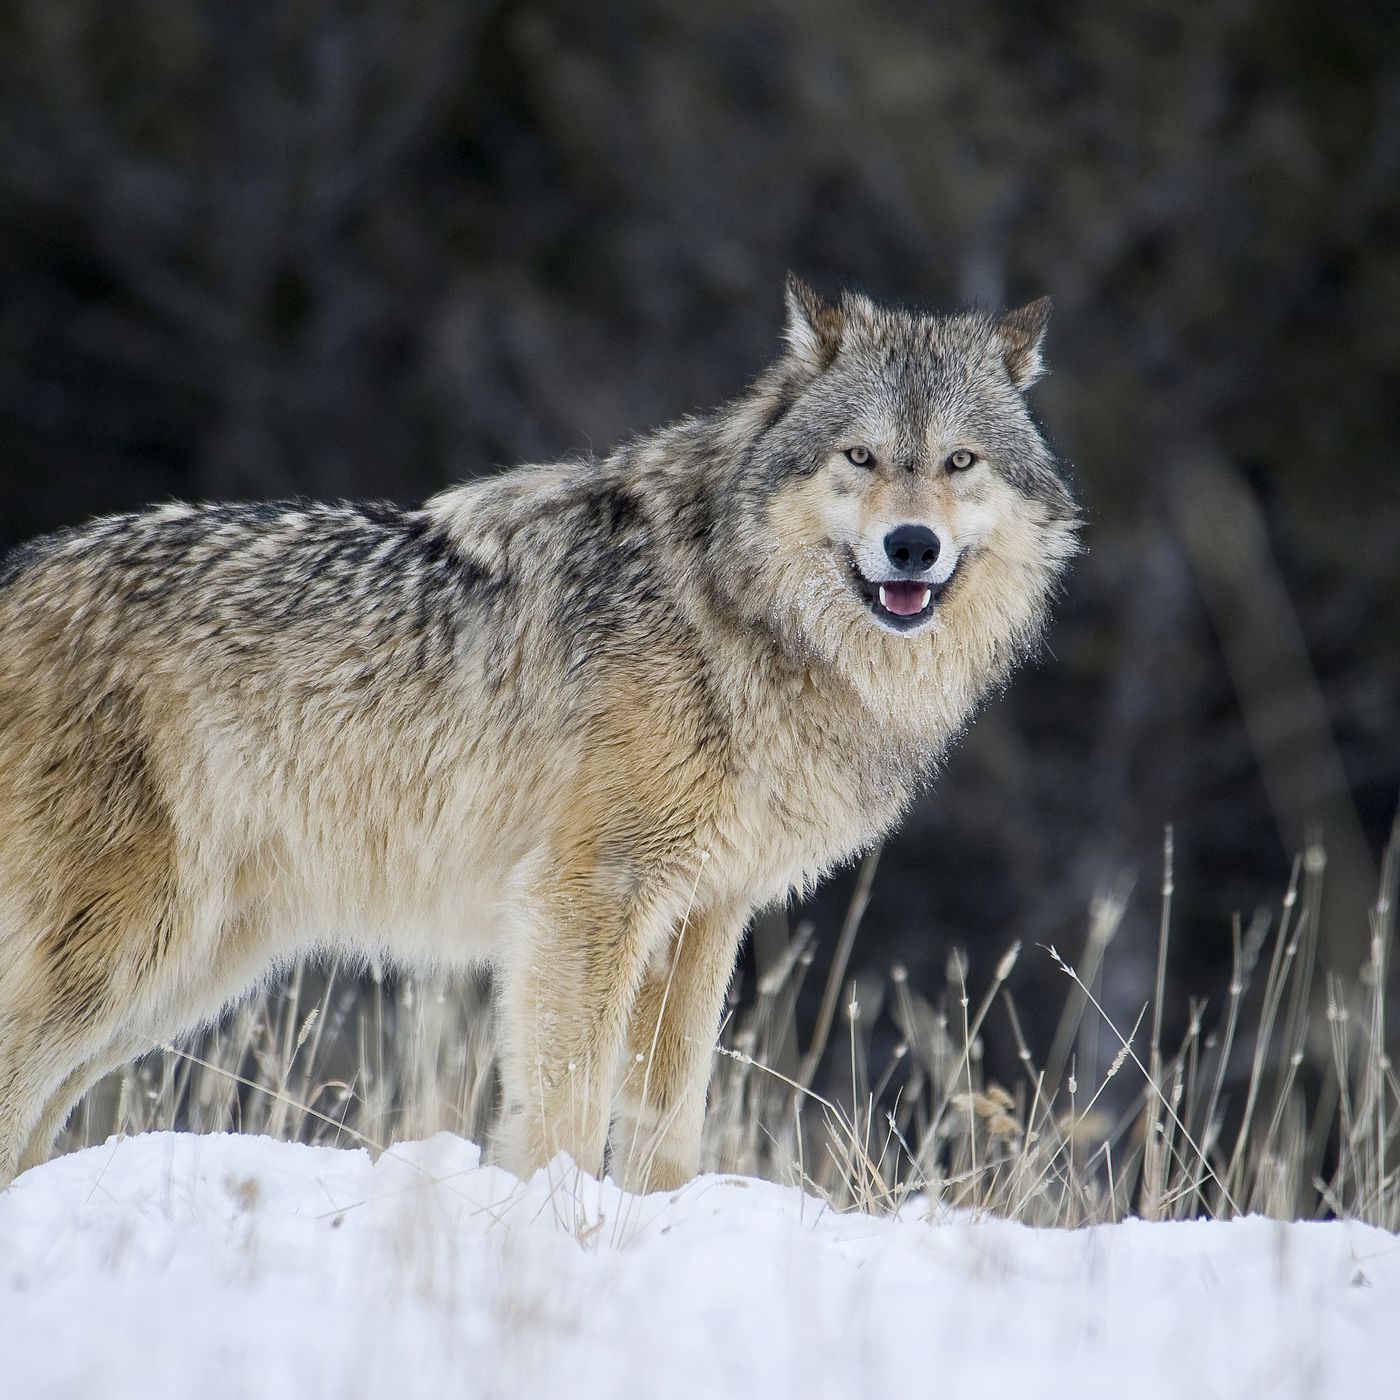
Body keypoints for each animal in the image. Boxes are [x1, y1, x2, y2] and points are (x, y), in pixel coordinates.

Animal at [0, 277, 1078, 1191]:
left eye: (959, 461)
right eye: (859, 455)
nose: (911, 545)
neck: (733, 614)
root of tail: (24, 563)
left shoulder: (705, 913)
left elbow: (667, 1116)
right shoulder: (587, 896)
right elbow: (567, 1104)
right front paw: (556, 1219)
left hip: (184, 972)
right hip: (129, 954)